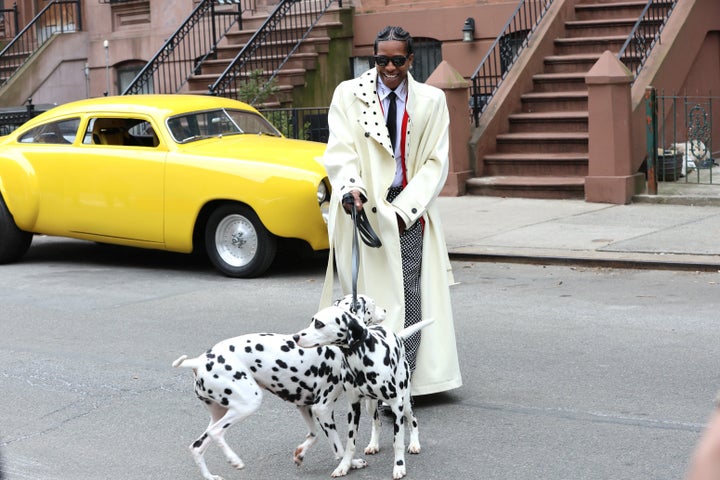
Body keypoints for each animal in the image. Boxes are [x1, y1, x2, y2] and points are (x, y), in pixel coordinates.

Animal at [173, 294, 385, 480]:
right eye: (373, 304)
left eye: (317, 323)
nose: (384, 309)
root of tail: (199, 361)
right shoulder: (322, 408)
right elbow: (338, 446)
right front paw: (349, 464)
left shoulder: (304, 406)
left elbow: (314, 434)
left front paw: (300, 454)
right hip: (247, 404)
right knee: (216, 433)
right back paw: (234, 460)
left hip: (219, 413)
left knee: (197, 446)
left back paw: (211, 476)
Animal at [293, 304, 434, 479]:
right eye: (312, 321)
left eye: (319, 324)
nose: (295, 337)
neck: (360, 360)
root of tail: (398, 338)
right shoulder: (353, 407)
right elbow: (350, 443)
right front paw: (344, 466)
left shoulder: (396, 405)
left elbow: (398, 441)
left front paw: (399, 466)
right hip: (370, 406)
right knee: (377, 423)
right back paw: (373, 444)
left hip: (404, 403)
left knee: (413, 421)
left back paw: (414, 444)